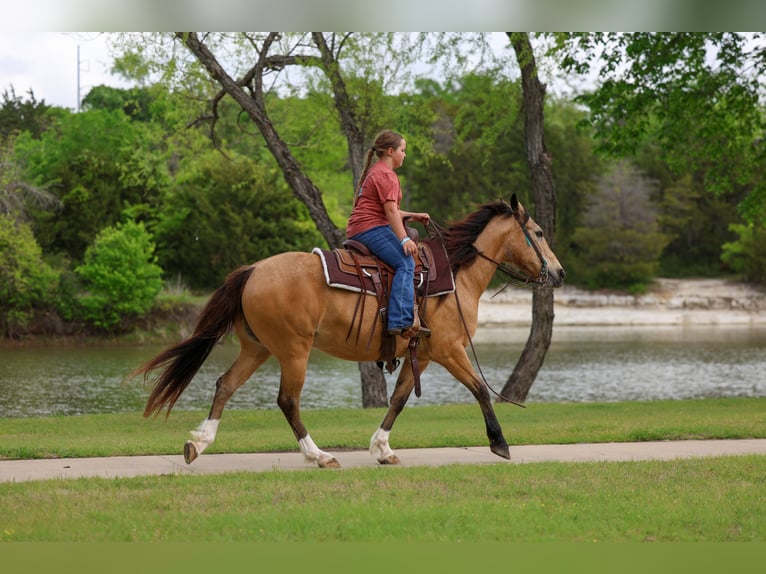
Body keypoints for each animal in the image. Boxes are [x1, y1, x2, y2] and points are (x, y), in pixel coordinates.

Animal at [134, 193, 565, 468]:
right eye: (539, 233)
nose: (559, 273)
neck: (455, 276)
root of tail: (253, 270)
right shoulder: (448, 349)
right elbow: (479, 390)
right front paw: (499, 443)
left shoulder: (422, 355)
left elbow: (398, 400)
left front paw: (382, 449)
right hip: (293, 350)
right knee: (287, 401)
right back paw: (319, 456)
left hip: (257, 348)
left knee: (225, 384)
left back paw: (198, 444)